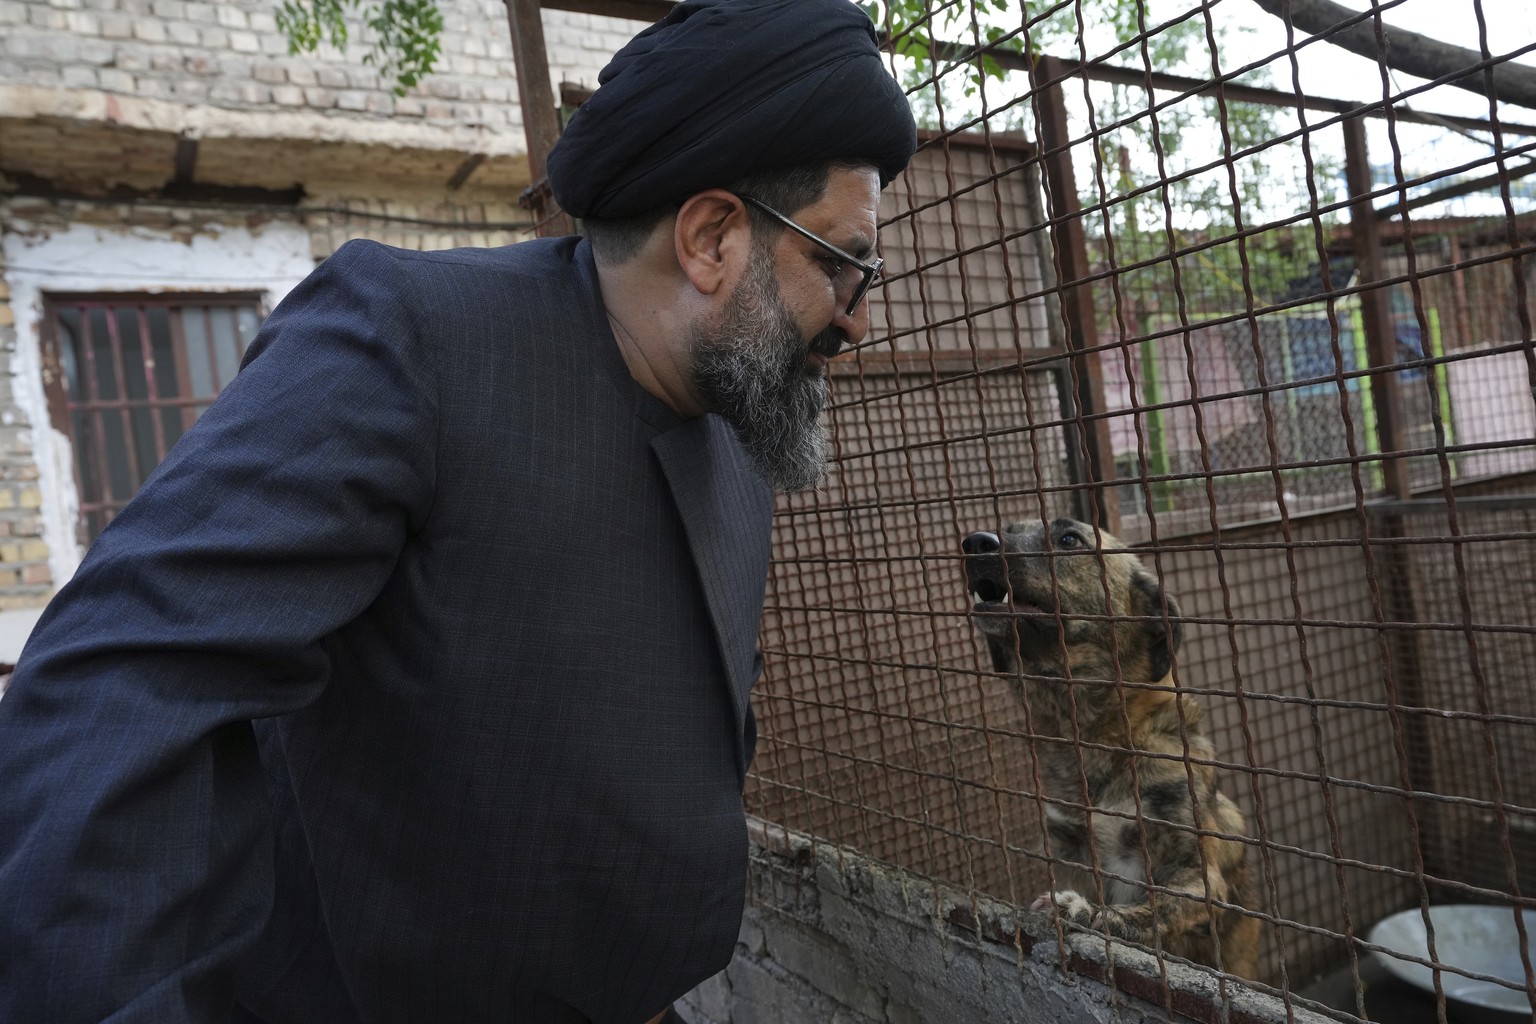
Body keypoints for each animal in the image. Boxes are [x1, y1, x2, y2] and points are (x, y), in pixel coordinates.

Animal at [958, 515, 1259, 982]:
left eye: (1068, 539)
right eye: (1008, 527)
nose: (974, 543)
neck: (1095, 737)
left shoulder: (1199, 876)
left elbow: (1153, 907)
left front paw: (1088, 914)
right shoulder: (1071, 848)